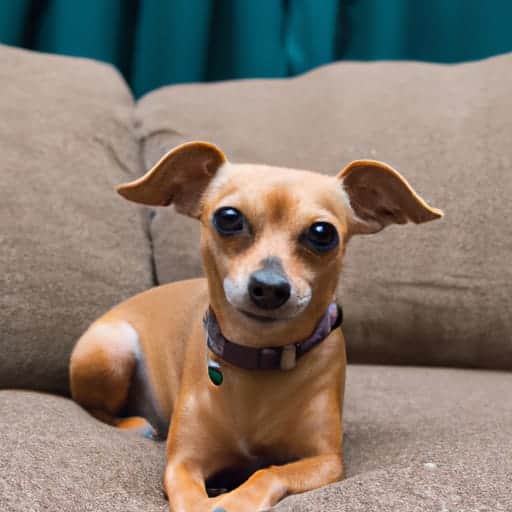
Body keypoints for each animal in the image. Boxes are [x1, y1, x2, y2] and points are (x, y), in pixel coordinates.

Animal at [70, 141, 442, 512]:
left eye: (322, 234)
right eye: (228, 218)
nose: (269, 287)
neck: (260, 355)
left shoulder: (325, 461)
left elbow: (269, 471)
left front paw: (235, 500)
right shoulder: (182, 464)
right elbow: (191, 499)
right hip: (110, 353)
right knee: (90, 406)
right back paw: (134, 424)